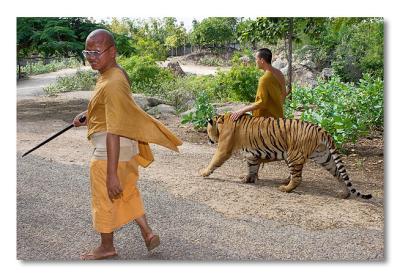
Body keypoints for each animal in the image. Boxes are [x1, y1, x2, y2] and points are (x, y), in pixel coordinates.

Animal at [200, 112, 372, 198]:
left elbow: (214, 161)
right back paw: (344, 193)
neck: (221, 122)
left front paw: (203, 172)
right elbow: (252, 168)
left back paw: (285, 188)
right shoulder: (252, 155)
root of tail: (321, 129)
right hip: (324, 157)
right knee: (339, 174)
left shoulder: (223, 149)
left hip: (293, 155)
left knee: (297, 178)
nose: (207, 138)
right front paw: (248, 179)